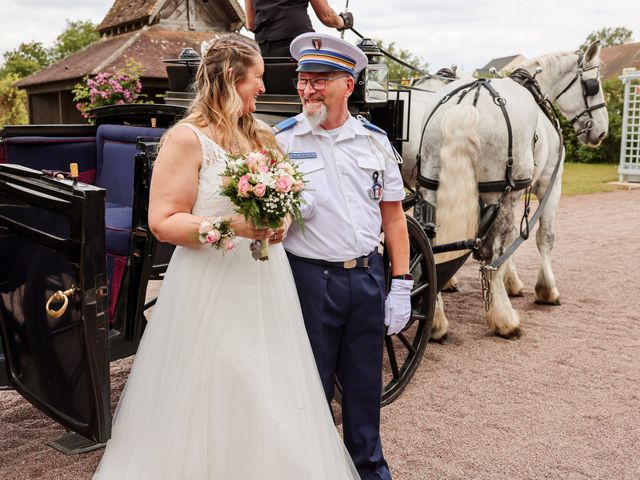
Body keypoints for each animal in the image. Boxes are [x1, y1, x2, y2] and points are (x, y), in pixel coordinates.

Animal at [416, 43, 604, 340]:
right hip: (502, 193)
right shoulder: (549, 184)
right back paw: (504, 319)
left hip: (432, 187)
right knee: (494, 250)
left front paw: (511, 282)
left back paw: (436, 320)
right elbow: (542, 238)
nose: (601, 132)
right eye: (593, 84)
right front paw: (546, 290)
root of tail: (469, 103)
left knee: (432, 248)